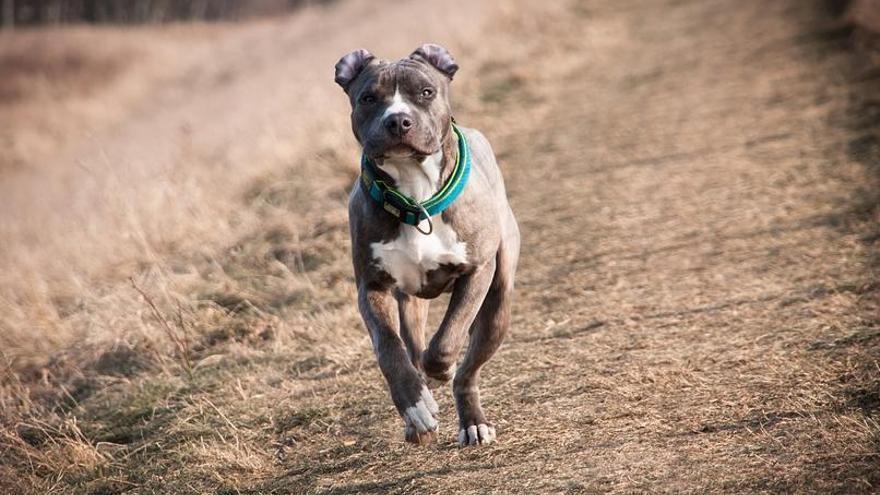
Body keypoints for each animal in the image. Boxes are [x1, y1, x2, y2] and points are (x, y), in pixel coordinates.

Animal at [334, 43, 520, 446]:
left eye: (426, 92)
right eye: (368, 98)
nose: (398, 121)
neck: (415, 195)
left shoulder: (477, 271)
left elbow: (448, 338)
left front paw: (441, 371)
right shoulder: (372, 287)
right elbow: (389, 349)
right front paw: (416, 405)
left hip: (498, 304)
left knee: (467, 370)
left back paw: (472, 421)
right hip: (411, 302)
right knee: (413, 345)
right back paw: (418, 414)